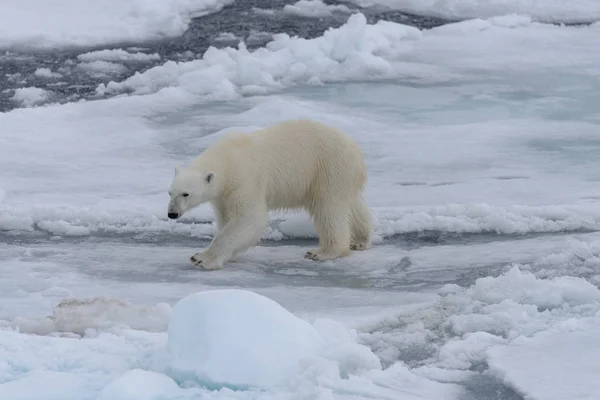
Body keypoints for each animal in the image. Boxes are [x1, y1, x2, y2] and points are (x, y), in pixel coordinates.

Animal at [169, 117, 372, 270]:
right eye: (170, 193)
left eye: (185, 194)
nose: (172, 213)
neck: (227, 160)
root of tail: (357, 152)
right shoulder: (223, 195)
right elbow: (226, 217)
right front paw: (228, 254)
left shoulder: (245, 181)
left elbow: (249, 218)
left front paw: (202, 258)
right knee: (352, 206)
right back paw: (360, 240)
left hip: (329, 169)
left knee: (329, 209)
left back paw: (323, 252)